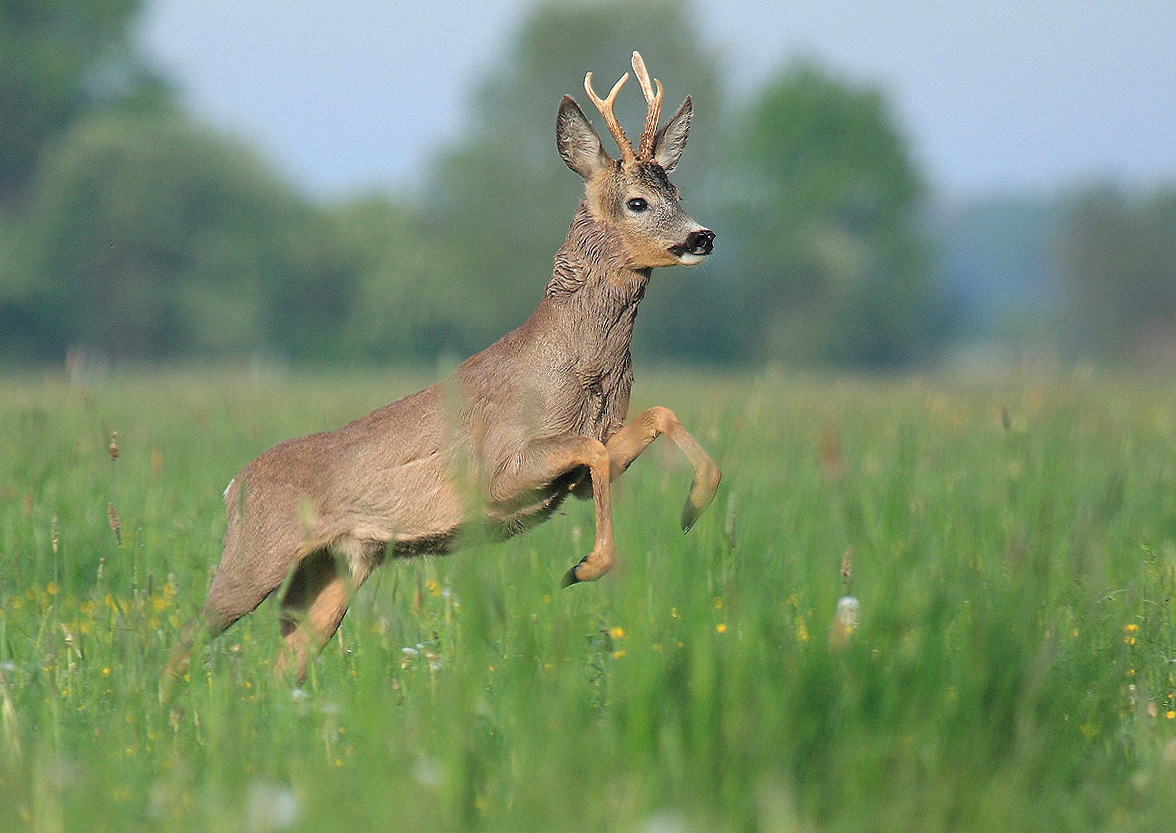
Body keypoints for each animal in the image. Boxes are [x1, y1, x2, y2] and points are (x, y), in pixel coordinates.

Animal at [163, 53, 715, 691]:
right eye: (637, 202)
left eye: (677, 189)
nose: (702, 235)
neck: (580, 373)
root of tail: (234, 485)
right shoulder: (502, 468)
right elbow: (596, 453)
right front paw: (584, 567)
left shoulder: (578, 471)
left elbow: (654, 417)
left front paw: (694, 506)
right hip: (258, 553)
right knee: (186, 638)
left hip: (334, 568)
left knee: (286, 659)